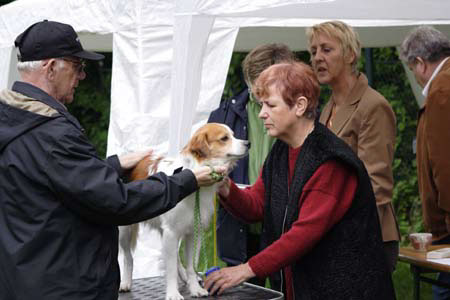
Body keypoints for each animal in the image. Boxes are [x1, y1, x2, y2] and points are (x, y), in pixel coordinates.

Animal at [118, 122, 248, 300]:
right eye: (224, 138)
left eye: (233, 135)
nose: (248, 143)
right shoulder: (171, 232)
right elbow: (170, 268)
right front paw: (173, 293)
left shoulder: (193, 231)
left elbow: (191, 265)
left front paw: (195, 288)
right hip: (125, 231)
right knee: (128, 257)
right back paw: (125, 282)